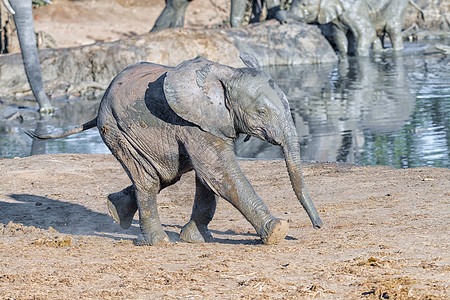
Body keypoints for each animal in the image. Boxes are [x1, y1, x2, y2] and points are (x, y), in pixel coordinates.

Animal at [29, 54, 324, 246]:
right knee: (148, 179)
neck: (226, 74)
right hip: (118, 130)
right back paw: (157, 242)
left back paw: (115, 211)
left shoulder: (211, 122)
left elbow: (208, 177)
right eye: (261, 112)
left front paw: (195, 239)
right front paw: (277, 232)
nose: (318, 226)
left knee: (164, 176)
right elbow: (218, 171)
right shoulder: (193, 122)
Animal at [286, 0, 420, 56]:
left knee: (393, 30)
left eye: (304, 4)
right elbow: (340, 38)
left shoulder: (353, 11)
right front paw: (344, 55)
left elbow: (367, 32)